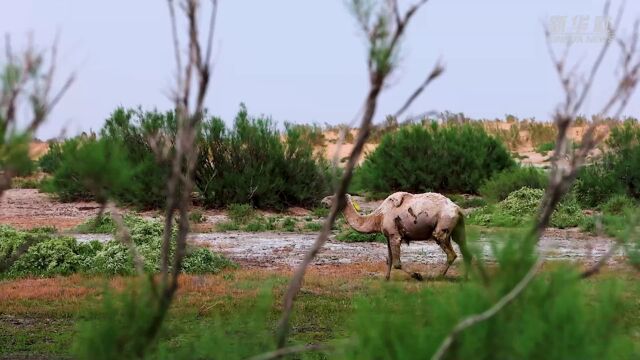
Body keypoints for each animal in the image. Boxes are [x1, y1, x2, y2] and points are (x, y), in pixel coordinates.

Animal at [322, 193, 472, 280]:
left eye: (333, 197)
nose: (323, 201)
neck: (379, 216)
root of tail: (458, 209)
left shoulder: (395, 235)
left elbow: (397, 264)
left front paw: (417, 275)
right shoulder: (388, 236)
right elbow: (389, 259)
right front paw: (386, 278)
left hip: (443, 226)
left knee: (451, 253)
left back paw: (438, 276)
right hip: (457, 228)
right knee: (464, 250)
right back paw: (465, 278)